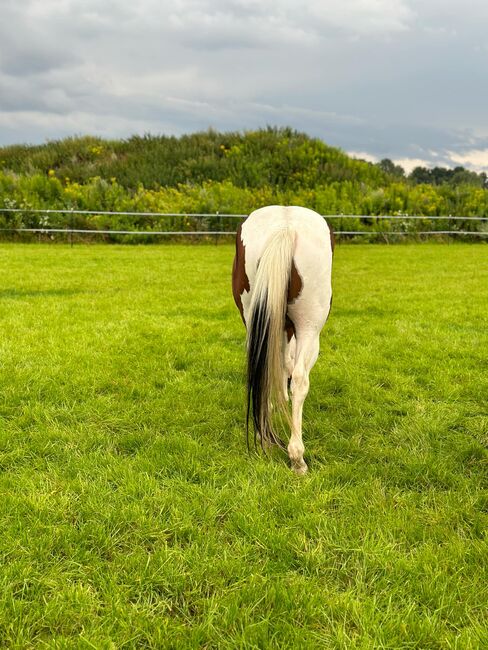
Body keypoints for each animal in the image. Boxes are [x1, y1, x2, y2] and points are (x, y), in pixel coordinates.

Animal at [232, 205, 332, 474]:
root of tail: (285, 225)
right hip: (310, 326)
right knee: (300, 379)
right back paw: (298, 458)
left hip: (252, 315)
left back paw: (263, 436)